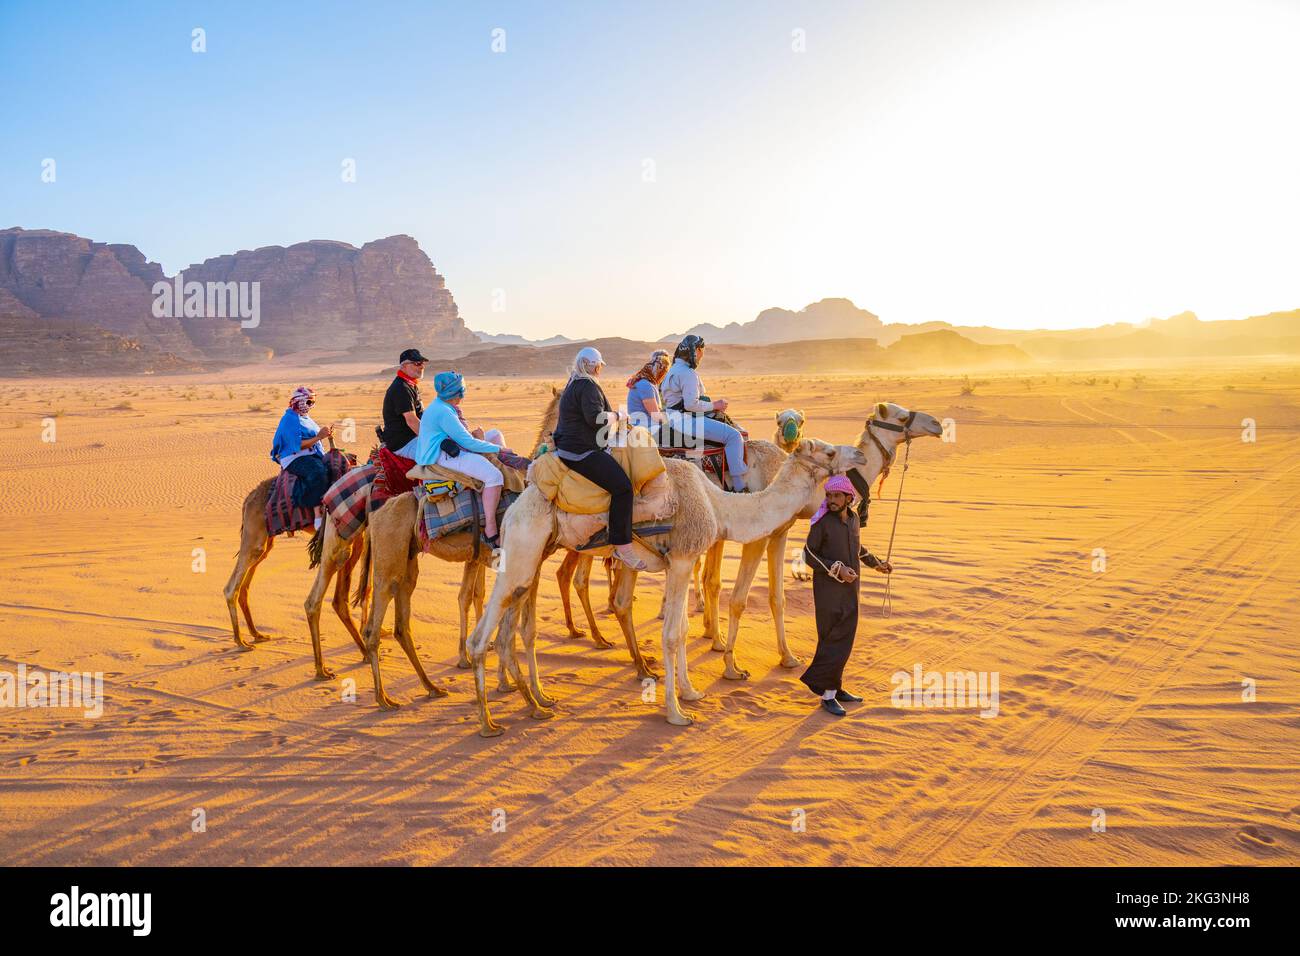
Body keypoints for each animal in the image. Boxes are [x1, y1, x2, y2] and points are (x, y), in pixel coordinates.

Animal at [462, 437, 868, 738]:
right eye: (828, 451)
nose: (860, 454)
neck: (719, 504)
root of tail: (516, 504)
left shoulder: (682, 562)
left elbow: (684, 628)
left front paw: (690, 692)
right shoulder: (684, 558)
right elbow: (672, 634)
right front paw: (675, 713)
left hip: (536, 554)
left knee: (512, 630)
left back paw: (538, 703)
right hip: (523, 549)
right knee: (483, 636)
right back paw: (489, 722)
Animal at [712, 403, 946, 681]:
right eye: (901, 417)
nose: (936, 424)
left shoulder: (780, 533)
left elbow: (777, 598)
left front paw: (788, 658)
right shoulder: (758, 537)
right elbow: (738, 600)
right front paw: (731, 668)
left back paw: (714, 639)